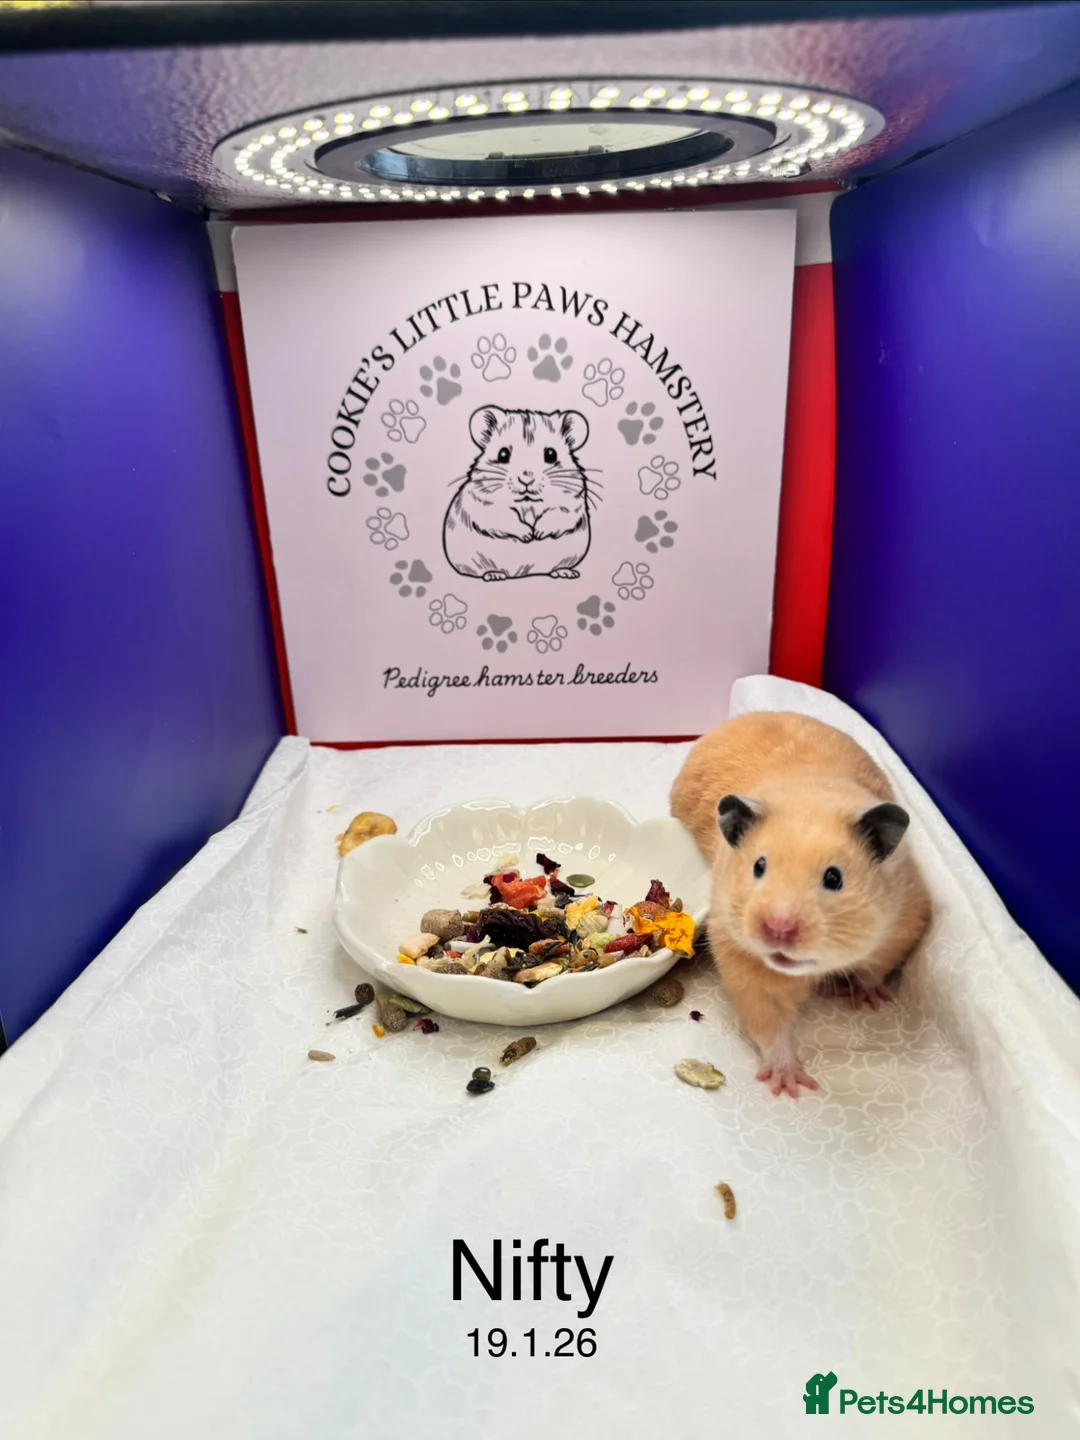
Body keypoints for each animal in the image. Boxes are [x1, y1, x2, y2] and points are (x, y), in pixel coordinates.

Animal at [443, 405, 593, 581]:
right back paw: (494, 575)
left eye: (551, 454)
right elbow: (506, 518)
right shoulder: (484, 503)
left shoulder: (571, 502)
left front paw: (538, 534)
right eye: (503, 454)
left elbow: (556, 514)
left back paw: (565, 572)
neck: (527, 502)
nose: (526, 478)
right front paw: (528, 535)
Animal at [670, 711, 931, 1098]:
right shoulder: (743, 962)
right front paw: (790, 1085)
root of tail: (741, 716)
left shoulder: (903, 921)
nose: (777, 928)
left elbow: (874, 969)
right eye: (758, 866)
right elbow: (770, 1026)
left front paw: (868, 1001)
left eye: (834, 878)